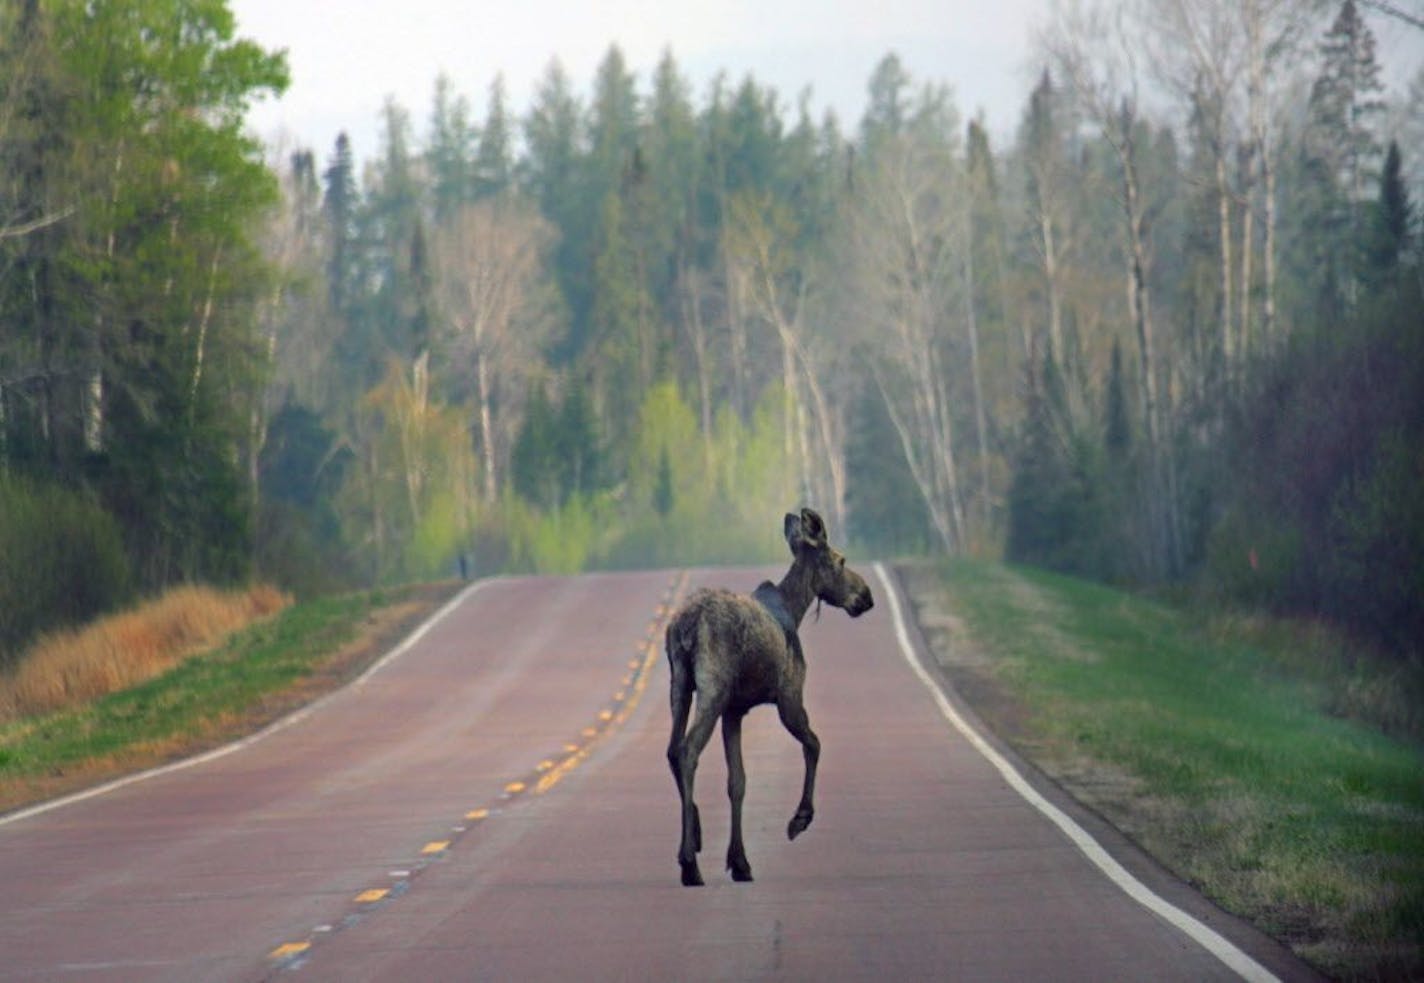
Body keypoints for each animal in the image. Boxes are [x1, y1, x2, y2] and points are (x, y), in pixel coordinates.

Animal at [663, 510, 865, 883]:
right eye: (841, 560)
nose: (866, 596)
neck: (795, 608)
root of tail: (686, 626)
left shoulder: (734, 711)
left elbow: (738, 782)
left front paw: (739, 861)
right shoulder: (789, 697)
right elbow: (815, 744)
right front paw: (799, 819)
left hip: (680, 685)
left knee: (671, 750)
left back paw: (695, 835)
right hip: (712, 689)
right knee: (687, 750)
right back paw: (689, 862)